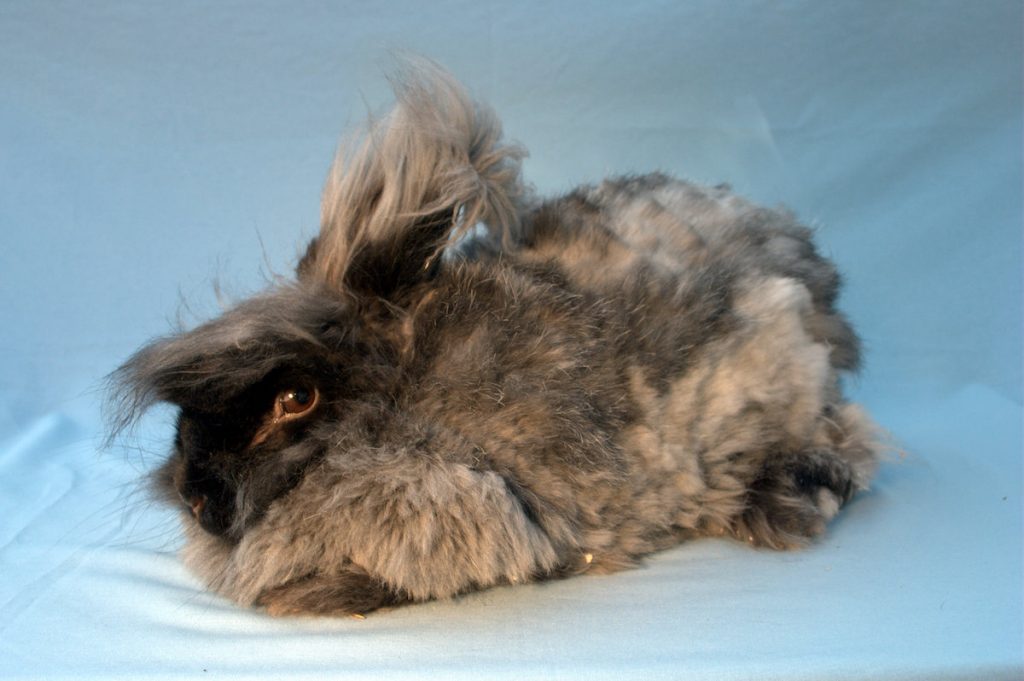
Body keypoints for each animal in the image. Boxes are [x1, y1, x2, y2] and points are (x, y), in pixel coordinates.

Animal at [110, 62, 880, 617]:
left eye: (296, 398)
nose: (196, 499)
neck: (402, 398)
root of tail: (809, 268)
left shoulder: (471, 506)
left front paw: (311, 596)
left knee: (853, 446)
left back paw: (784, 499)